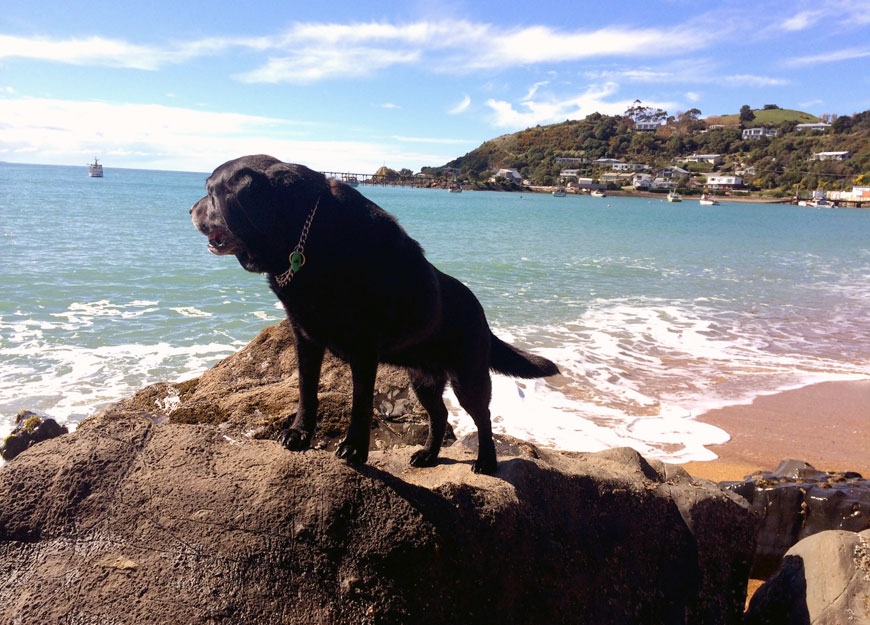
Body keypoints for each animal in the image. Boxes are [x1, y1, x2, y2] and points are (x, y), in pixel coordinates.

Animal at [191, 156, 560, 472]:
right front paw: (299, 433)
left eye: (210, 192)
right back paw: (428, 455)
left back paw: (486, 461)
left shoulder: (363, 351)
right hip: (423, 379)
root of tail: (482, 314)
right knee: (440, 415)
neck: (306, 238)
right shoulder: (305, 338)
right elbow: (307, 391)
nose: (190, 209)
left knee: (482, 415)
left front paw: (354, 449)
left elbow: (361, 403)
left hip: (467, 376)